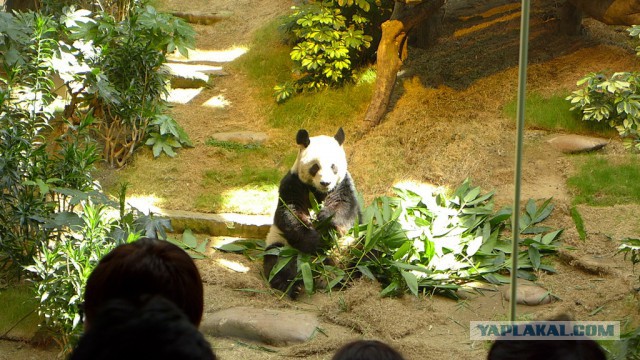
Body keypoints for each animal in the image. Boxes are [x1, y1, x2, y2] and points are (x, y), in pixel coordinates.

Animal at [264, 128, 360, 296]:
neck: (318, 191)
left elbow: (345, 207)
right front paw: (315, 239)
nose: (325, 182)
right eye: (315, 167)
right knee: (279, 262)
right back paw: (293, 286)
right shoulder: (294, 183)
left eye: (333, 166)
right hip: (284, 246)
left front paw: (326, 222)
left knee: (367, 255)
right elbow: (290, 212)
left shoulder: (342, 184)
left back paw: (347, 279)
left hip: (353, 244)